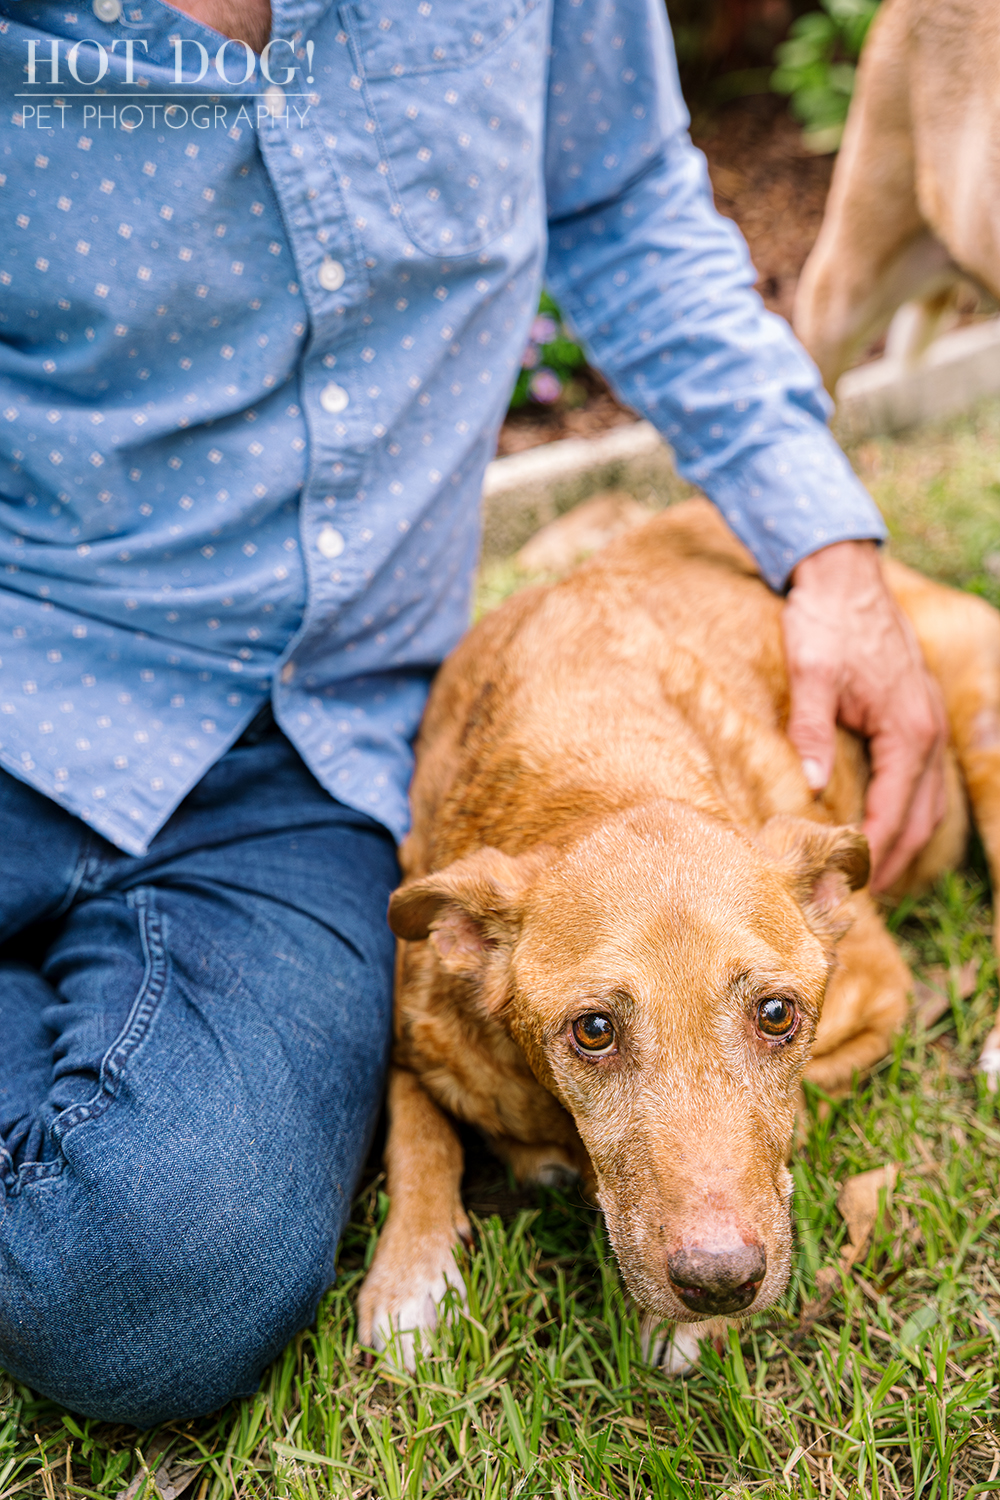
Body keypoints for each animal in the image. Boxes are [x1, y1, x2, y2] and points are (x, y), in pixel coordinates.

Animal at [358, 504, 1000, 1374]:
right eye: (593, 1030)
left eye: (777, 1015)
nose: (720, 1285)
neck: (599, 766)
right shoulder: (411, 1022)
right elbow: (415, 1130)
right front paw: (412, 1269)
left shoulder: (878, 1001)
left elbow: (794, 1121)